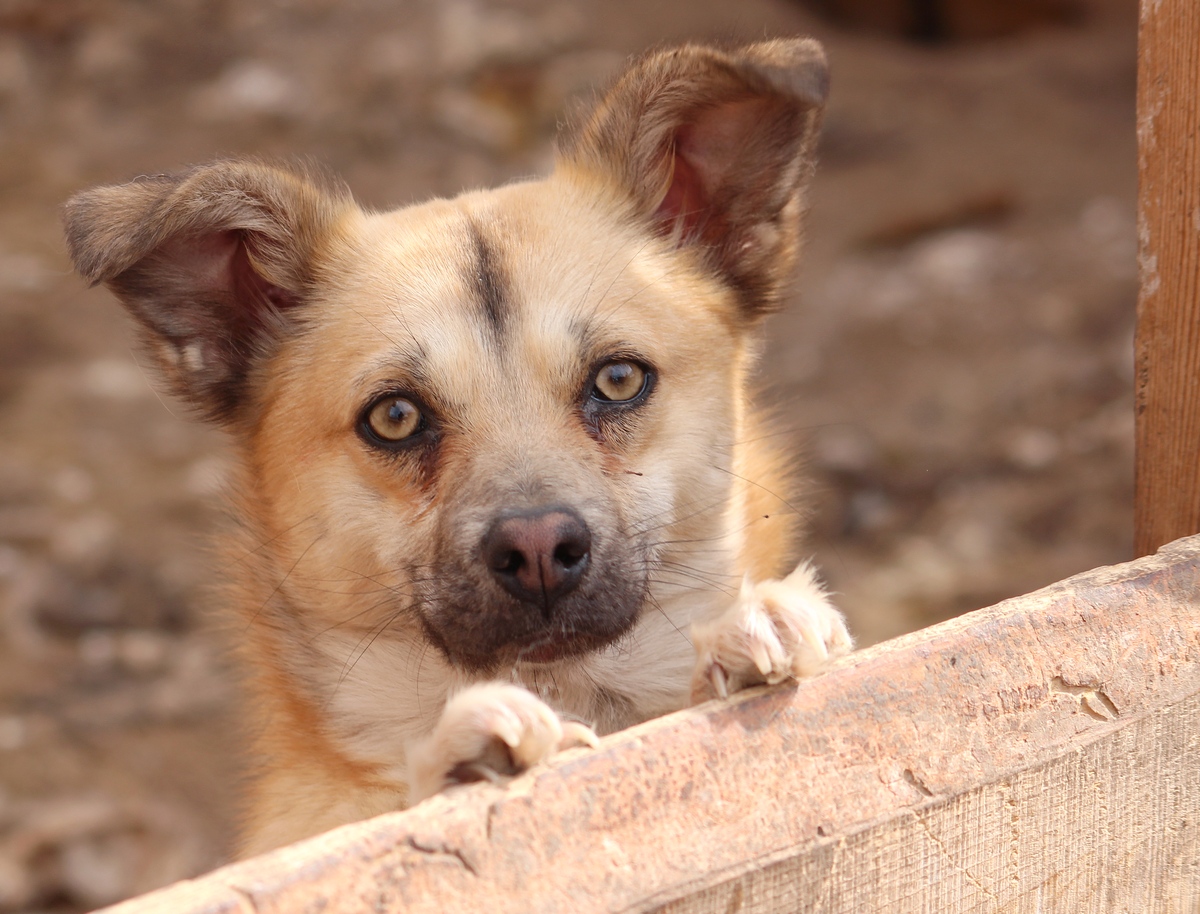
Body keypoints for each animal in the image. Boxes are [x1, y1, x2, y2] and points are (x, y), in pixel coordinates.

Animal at [63, 37, 854, 854]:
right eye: (395, 417)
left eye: (619, 378)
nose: (538, 550)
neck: (567, 694)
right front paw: (459, 756)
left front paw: (751, 634)